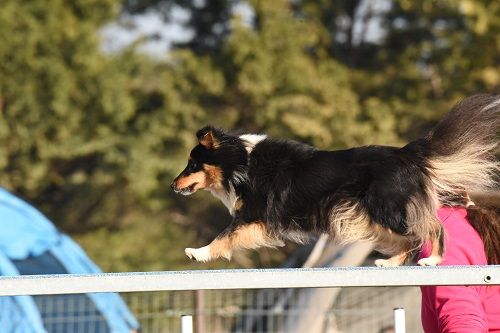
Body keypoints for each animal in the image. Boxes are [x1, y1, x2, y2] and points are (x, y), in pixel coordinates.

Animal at [170, 94, 498, 266]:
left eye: (192, 164)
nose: (172, 185)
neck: (240, 161)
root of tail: (406, 153)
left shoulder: (252, 214)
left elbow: (223, 236)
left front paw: (197, 253)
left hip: (386, 210)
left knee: (431, 226)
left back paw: (433, 259)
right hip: (373, 218)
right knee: (412, 237)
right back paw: (389, 262)